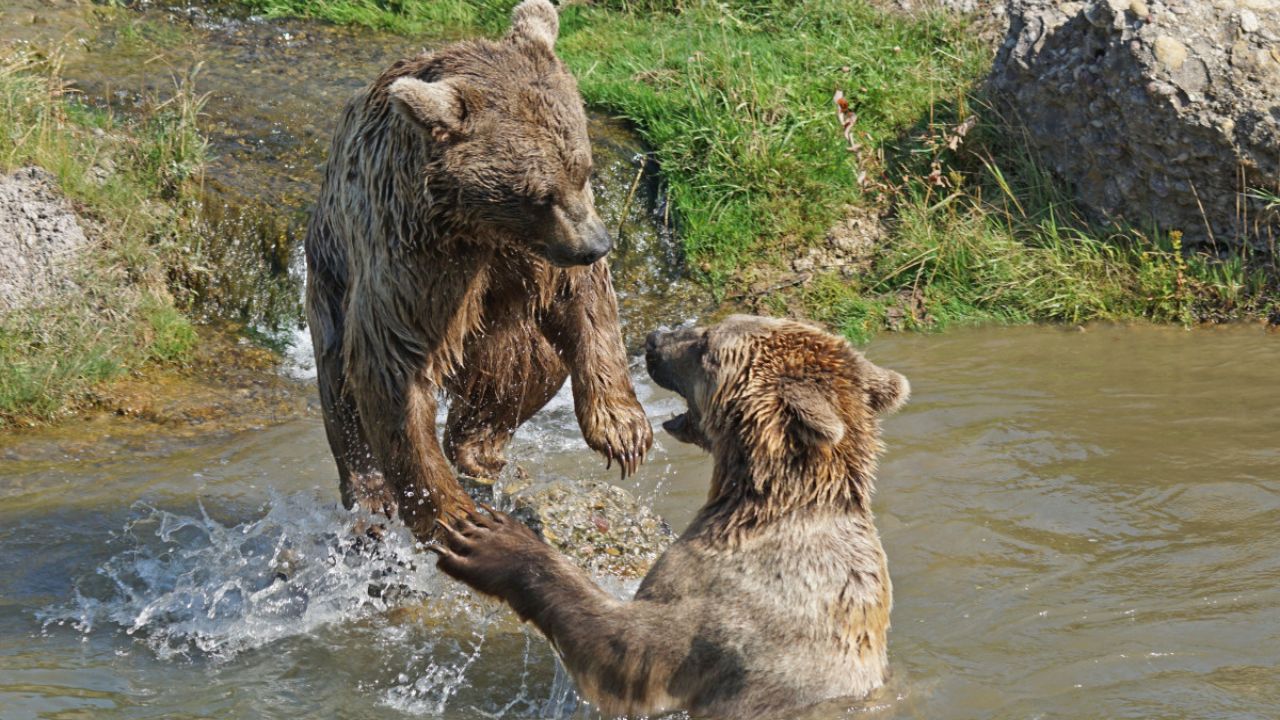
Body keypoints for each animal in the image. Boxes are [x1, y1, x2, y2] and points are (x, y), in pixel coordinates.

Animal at [305, 0, 655, 538]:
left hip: (509, 340)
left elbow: (587, 306)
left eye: (584, 169)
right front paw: (453, 512)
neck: (482, 225)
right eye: (539, 193)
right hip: (328, 279)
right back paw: (372, 494)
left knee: (522, 370)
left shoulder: (535, 255)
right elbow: (391, 367)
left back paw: (477, 449)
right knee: (340, 389)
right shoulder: (414, 256)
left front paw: (622, 430)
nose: (596, 246)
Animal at [432, 315, 911, 717]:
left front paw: (488, 539)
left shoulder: (733, 609)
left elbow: (629, 651)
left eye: (706, 343)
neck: (762, 503)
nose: (655, 339)